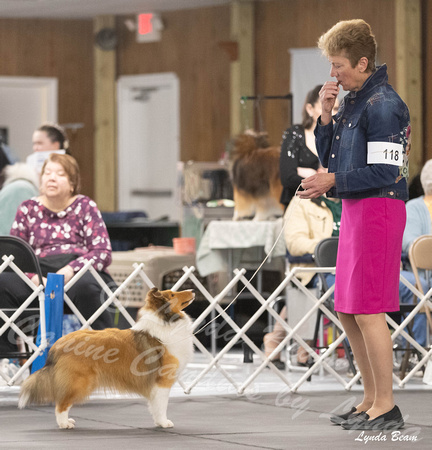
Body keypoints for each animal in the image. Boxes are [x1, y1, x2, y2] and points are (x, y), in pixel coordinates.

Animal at [18, 288, 194, 428]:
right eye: (172, 294)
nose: (192, 290)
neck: (166, 321)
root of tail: (58, 345)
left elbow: (155, 406)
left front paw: (158, 422)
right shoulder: (163, 381)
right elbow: (162, 405)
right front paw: (164, 423)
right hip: (79, 381)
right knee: (61, 404)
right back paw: (64, 424)